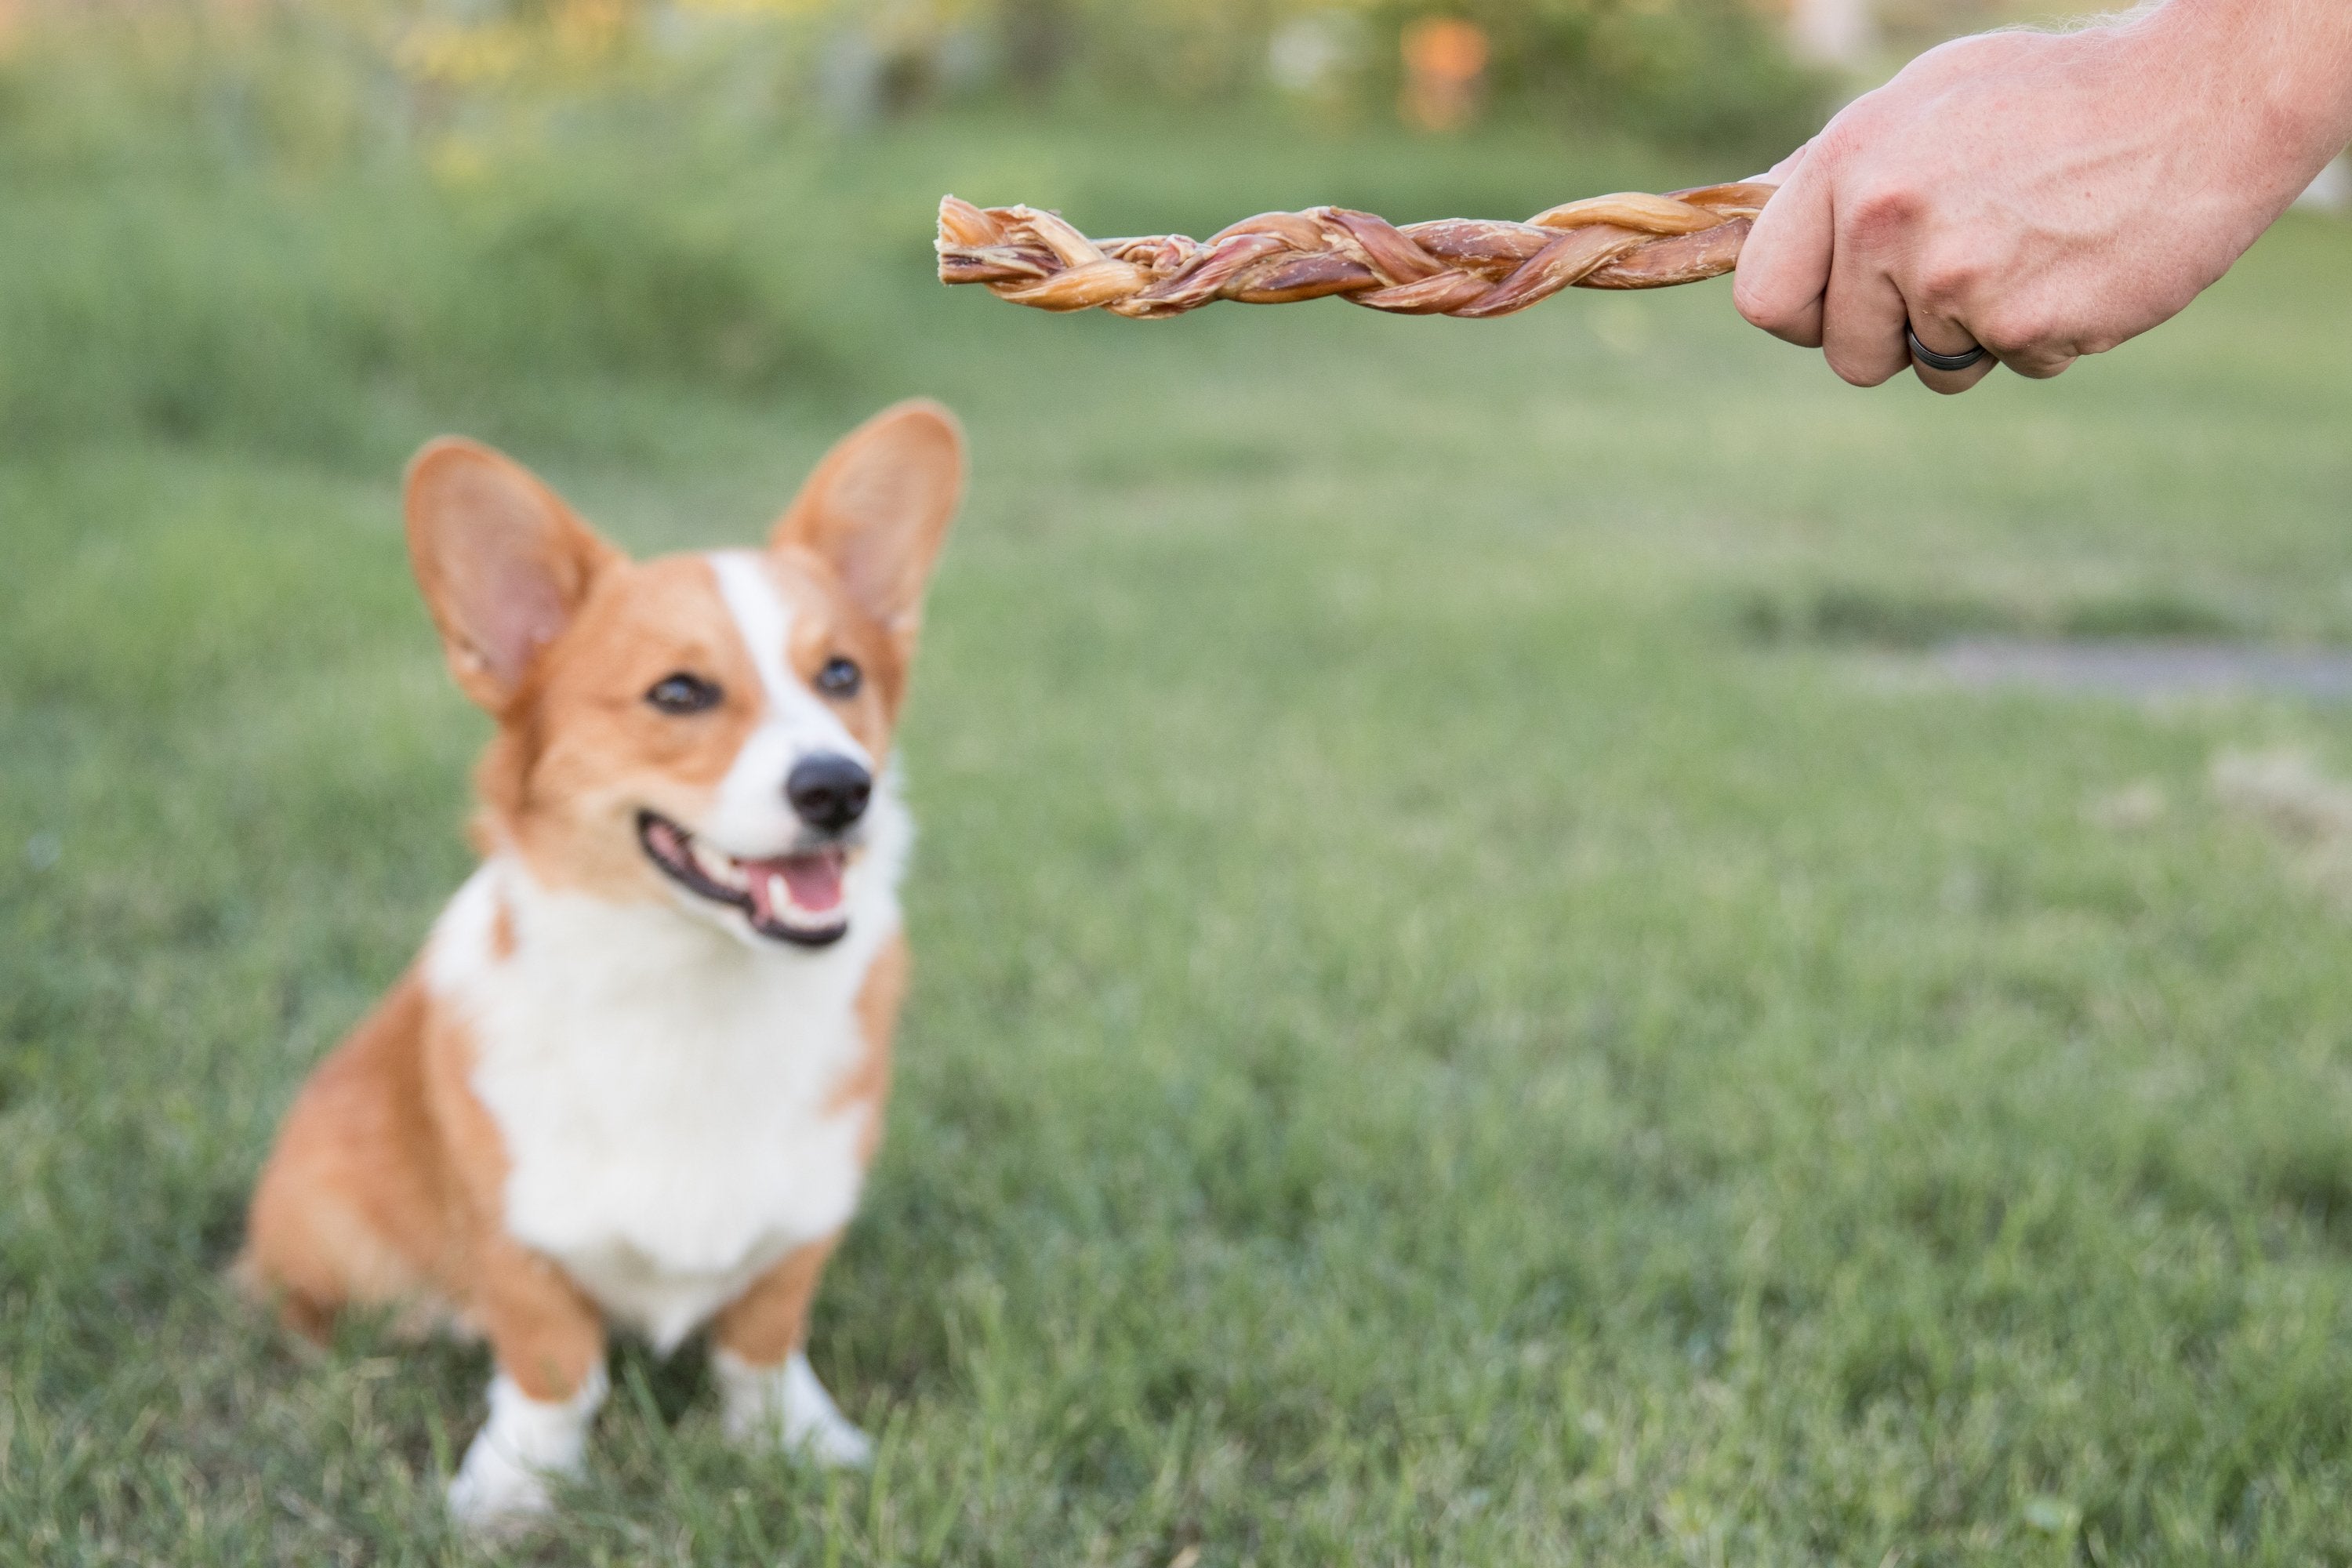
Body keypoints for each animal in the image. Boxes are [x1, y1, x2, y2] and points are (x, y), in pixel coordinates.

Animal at [241, 399, 964, 1523]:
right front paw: (514, 1489)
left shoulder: (807, 1212)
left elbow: (762, 1343)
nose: (840, 788)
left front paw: (798, 1440)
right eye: (680, 692)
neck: (693, 989)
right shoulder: (515, 1232)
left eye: (841, 674)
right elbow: (552, 1365)